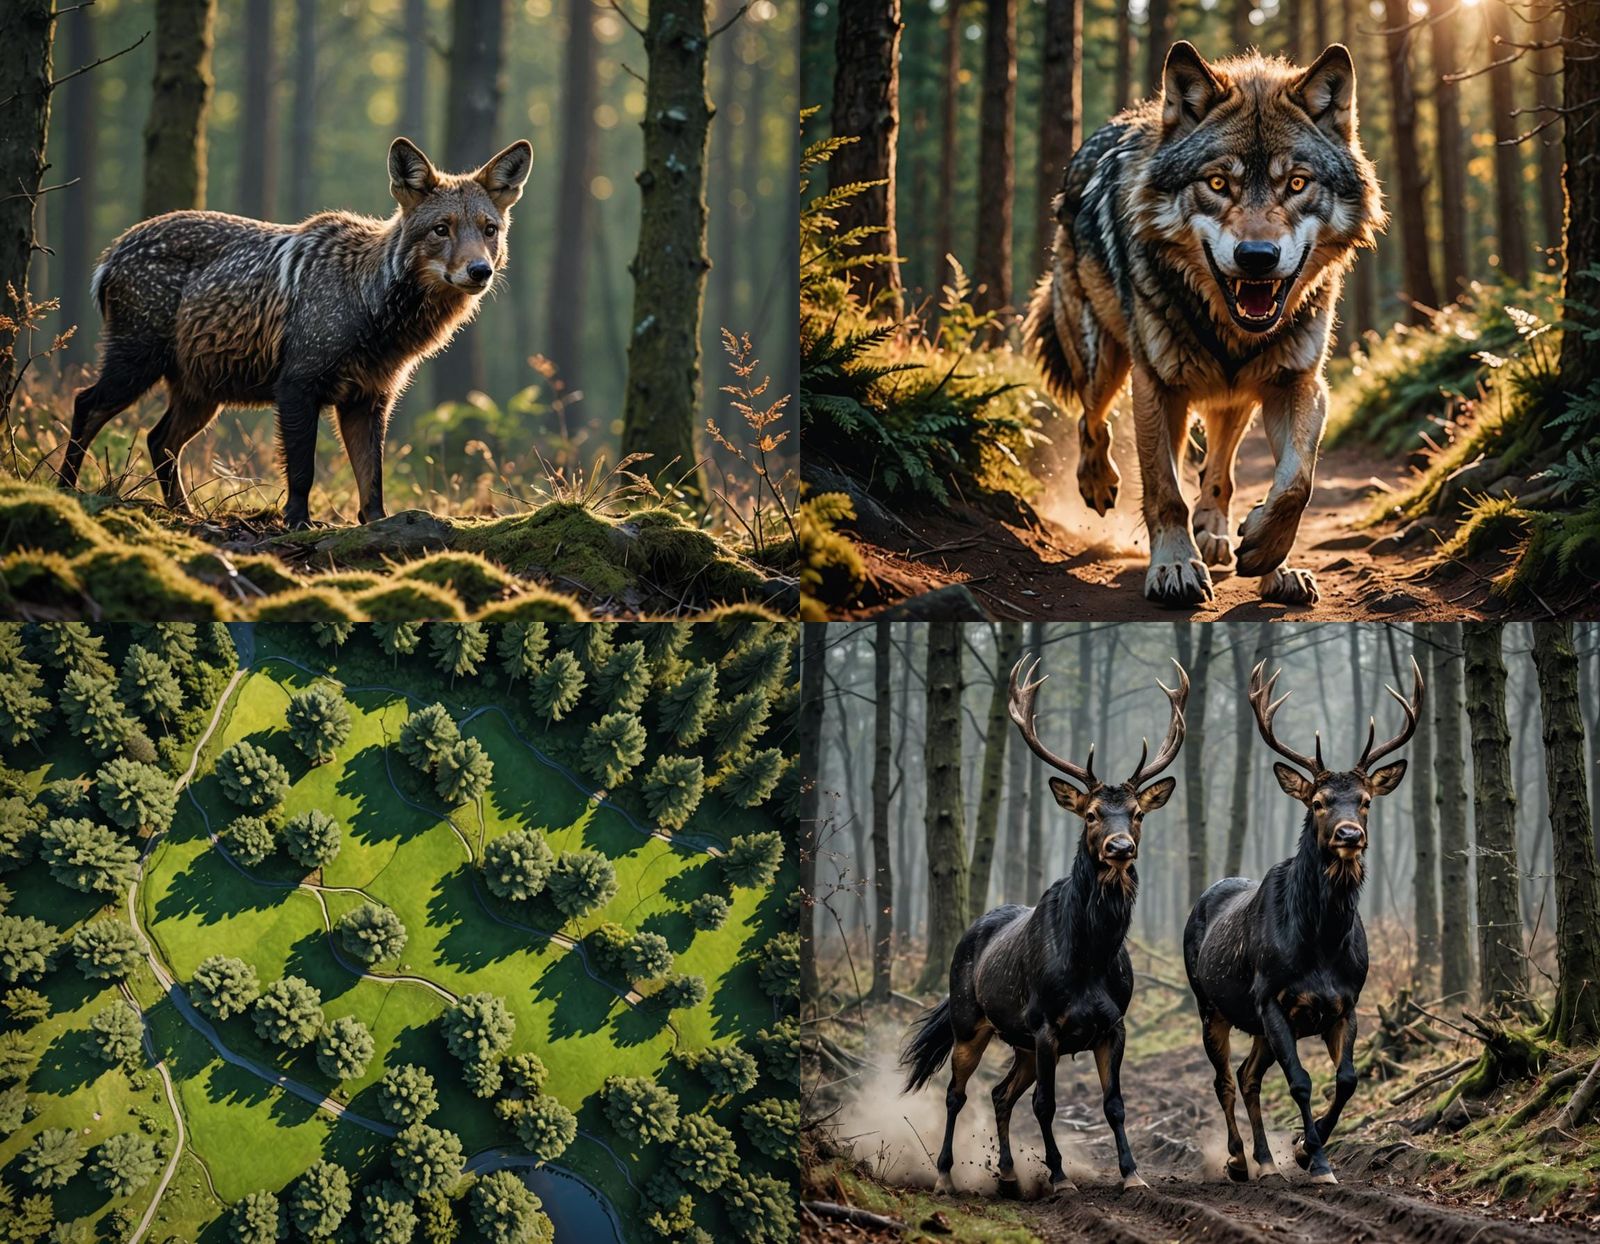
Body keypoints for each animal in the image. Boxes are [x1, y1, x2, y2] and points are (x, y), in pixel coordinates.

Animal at [58, 137, 532, 528]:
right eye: (441, 229)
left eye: (489, 229)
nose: (480, 271)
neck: (371, 308)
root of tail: (110, 255)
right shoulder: (297, 385)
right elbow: (303, 470)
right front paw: (299, 523)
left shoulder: (370, 397)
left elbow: (371, 479)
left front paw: (377, 525)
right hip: (137, 365)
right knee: (86, 404)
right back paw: (64, 491)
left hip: (201, 393)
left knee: (159, 440)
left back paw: (185, 513)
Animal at [1023, 43, 1384, 607]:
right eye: (1218, 183)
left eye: (1296, 183)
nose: (1257, 257)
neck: (1231, 327)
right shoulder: (1156, 385)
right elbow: (1164, 490)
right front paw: (1175, 566)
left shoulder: (1297, 383)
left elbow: (1297, 482)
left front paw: (1269, 556)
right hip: (1103, 362)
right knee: (1091, 419)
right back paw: (1100, 483)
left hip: (1233, 399)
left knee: (1219, 470)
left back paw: (1217, 534)